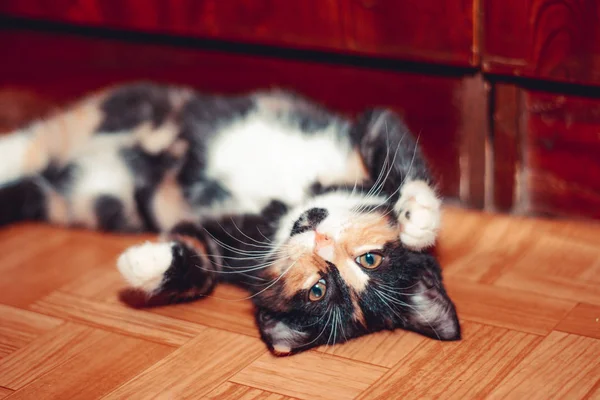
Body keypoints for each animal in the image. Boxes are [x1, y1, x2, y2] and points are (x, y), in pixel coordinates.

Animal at [0, 83, 462, 354]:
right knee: (28, 144)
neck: (283, 207)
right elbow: (399, 149)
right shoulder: (370, 130)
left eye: (318, 291)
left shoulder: (225, 240)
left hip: (86, 199)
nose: (322, 244)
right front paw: (416, 219)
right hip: (119, 111)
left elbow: (200, 263)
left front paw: (140, 265)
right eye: (372, 258)